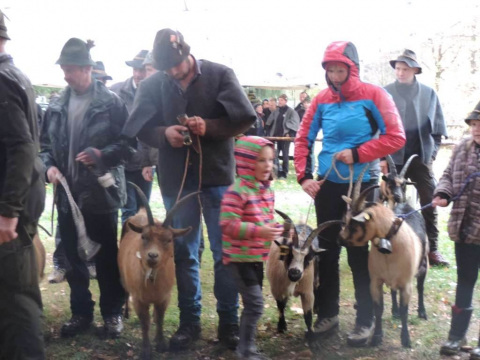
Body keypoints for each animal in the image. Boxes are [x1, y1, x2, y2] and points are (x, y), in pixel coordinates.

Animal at [117, 186, 197, 360]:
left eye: (169, 239)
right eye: (144, 236)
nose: (152, 256)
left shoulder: (164, 297)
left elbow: (160, 319)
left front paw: (161, 343)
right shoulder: (139, 299)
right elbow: (144, 323)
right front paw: (146, 350)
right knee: (125, 292)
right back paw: (125, 312)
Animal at [340, 167, 426, 348]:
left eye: (354, 224)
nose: (339, 239)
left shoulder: (406, 285)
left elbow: (405, 310)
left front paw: (406, 339)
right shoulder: (375, 281)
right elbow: (378, 309)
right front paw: (376, 337)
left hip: (423, 265)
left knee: (421, 287)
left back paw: (422, 312)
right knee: (393, 292)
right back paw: (394, 311)